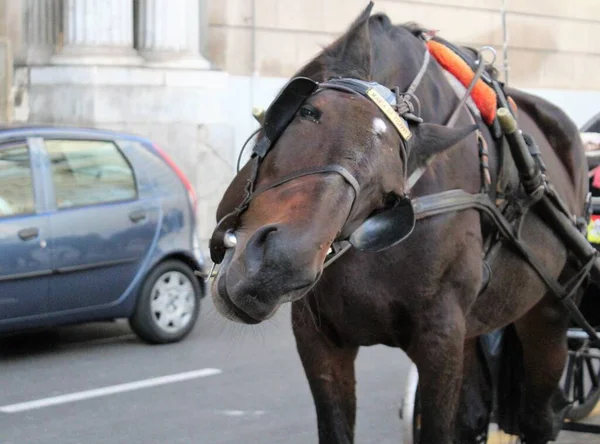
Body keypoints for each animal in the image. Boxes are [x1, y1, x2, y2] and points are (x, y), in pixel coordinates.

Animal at [210, 4, 584, 444]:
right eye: (308, 112)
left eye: (389, 192)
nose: (276, 269)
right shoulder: (319, 340)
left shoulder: (440, 342)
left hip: (548, 313)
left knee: (538, 417)